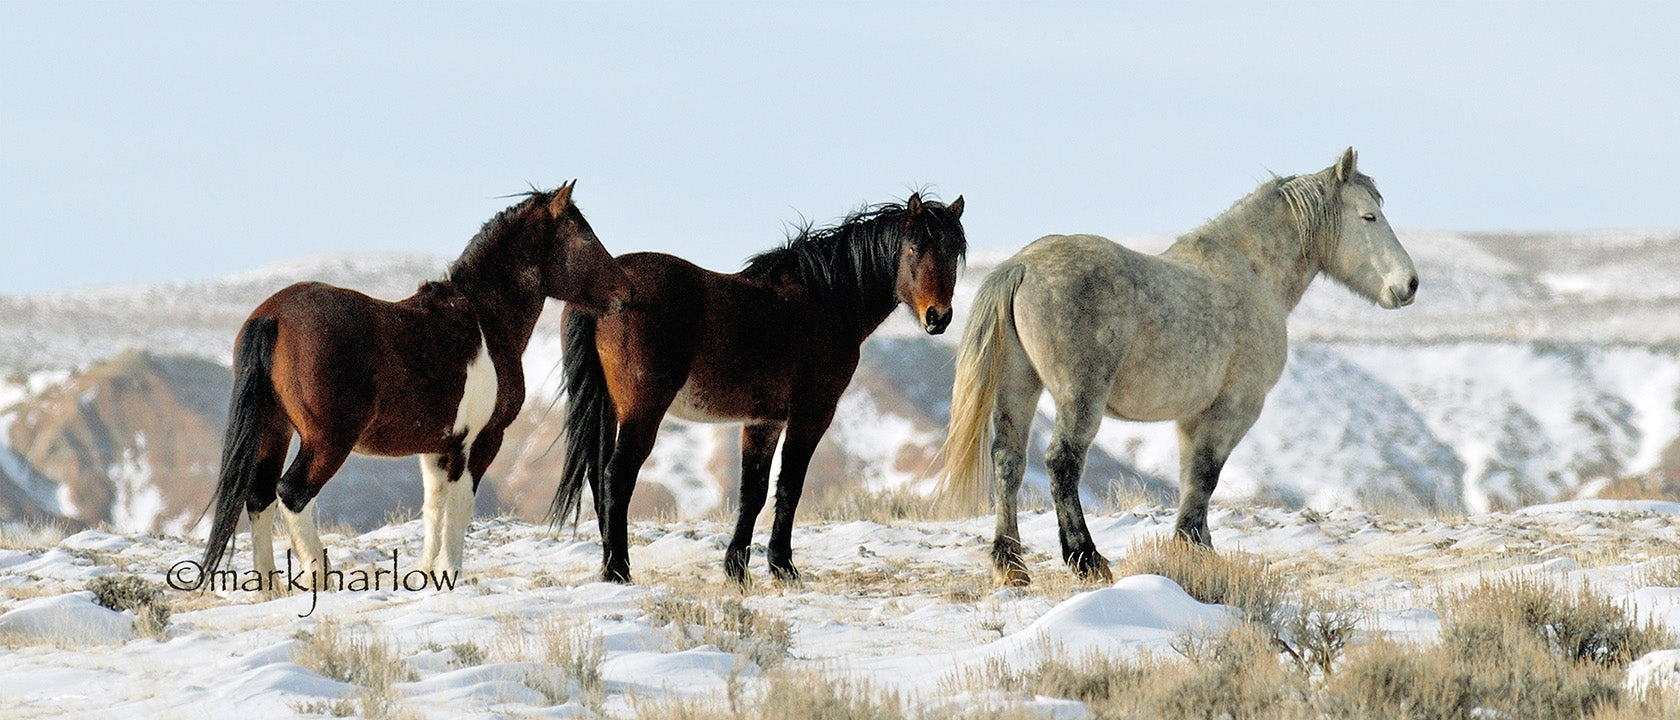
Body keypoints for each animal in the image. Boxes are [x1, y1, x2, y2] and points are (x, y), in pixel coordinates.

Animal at [200, 182, 633, 589]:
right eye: (585, 235)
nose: (625, 292)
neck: (483, 321)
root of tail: (272, 315)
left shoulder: (436, 446)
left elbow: (434, 506)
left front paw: (428, 574)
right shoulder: (479, 441)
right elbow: (460, 505)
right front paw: (450, 572)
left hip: (274, 430)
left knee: (259, 496)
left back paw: (268, 587)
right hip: (327, 440)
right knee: (291, 493)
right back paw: (321, 578)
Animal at [554, 192, 966, 585]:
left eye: (953, 251)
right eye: (913, 248)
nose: (938, 317)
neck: (825, 300)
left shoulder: (763, 421)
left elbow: (752, 492)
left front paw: (737, 569)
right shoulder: (812, 413)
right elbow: (789, 486)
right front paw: (782, 566)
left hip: (608, 407)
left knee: (598, 477)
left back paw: (609, 565)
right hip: (642, 409)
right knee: (616, 476)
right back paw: (618, 570)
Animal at [940, 149, 1417, 586]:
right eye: (1369, 216)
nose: (1409, 284)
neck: (1252, 272)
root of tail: (1021, 266)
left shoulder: (1192, 416)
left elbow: (1192, 478)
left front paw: (1200, 551)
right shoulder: (1234, 408)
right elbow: (1205, 476)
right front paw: (1190, 548)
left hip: (1018, 388)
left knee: (1009, 461)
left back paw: (1011, 565)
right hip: (1080, 397)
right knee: (1062, 462)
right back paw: (1086, 559)